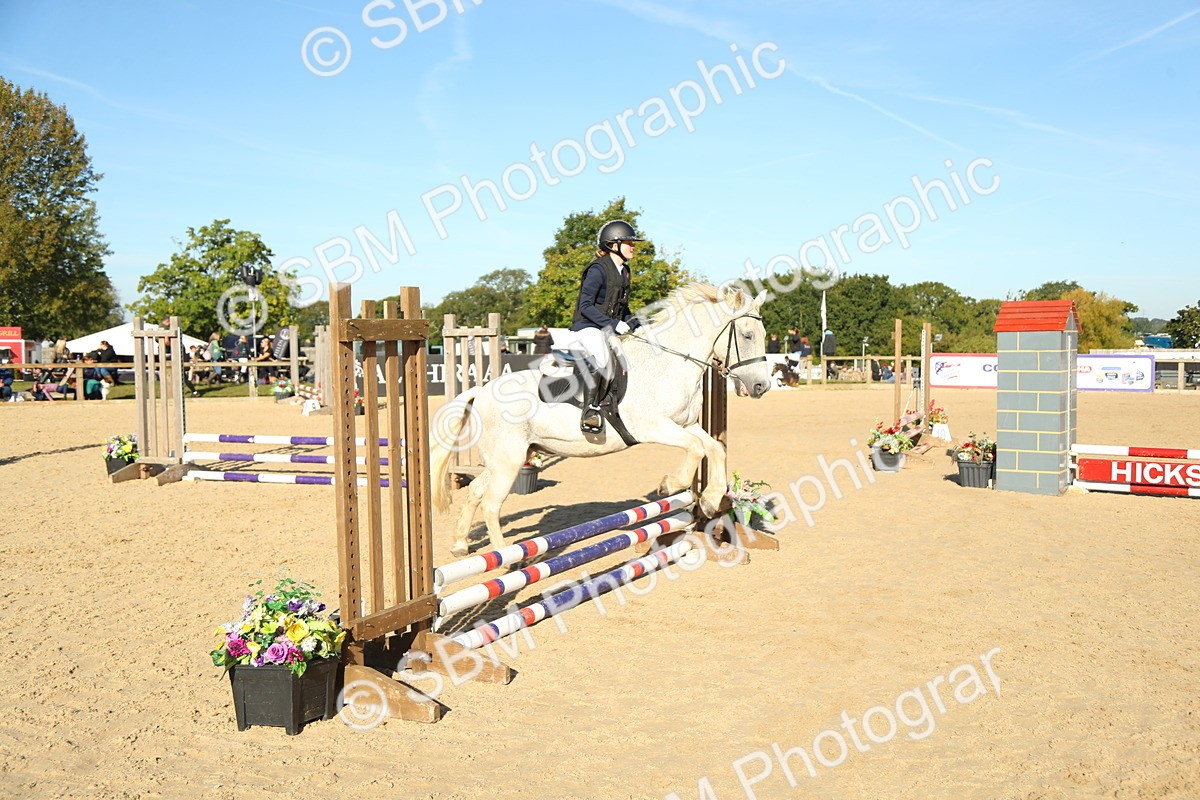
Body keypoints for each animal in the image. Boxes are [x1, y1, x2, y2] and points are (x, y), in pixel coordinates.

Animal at [430, 283, 773, 557]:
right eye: (747, 335)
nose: (761, 386)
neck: (668, 363)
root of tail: (481, 390)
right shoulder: (653, 427)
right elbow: (696, 449)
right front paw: (670, 484)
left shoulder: (686, 425)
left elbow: (715, 448)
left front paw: (711, 500)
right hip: (508, 460)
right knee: (491, 503)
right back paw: (508, 559)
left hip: (507, 458)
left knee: (476, 492)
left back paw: (460, 545)